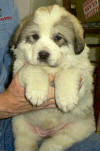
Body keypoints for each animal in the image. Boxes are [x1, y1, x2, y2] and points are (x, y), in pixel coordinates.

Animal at [11, 5, 95, 151]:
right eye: (35, 36)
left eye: (57, 37)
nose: (43, 54)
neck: (50, 69)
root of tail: (46, 133)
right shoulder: (19, 68)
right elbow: (33, 68)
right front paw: (37, 94)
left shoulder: (84, 78)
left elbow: (68, 71)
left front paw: (66, 100)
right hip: (21, 127)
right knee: (25, 142)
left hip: (76, 130)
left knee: (54, 143)